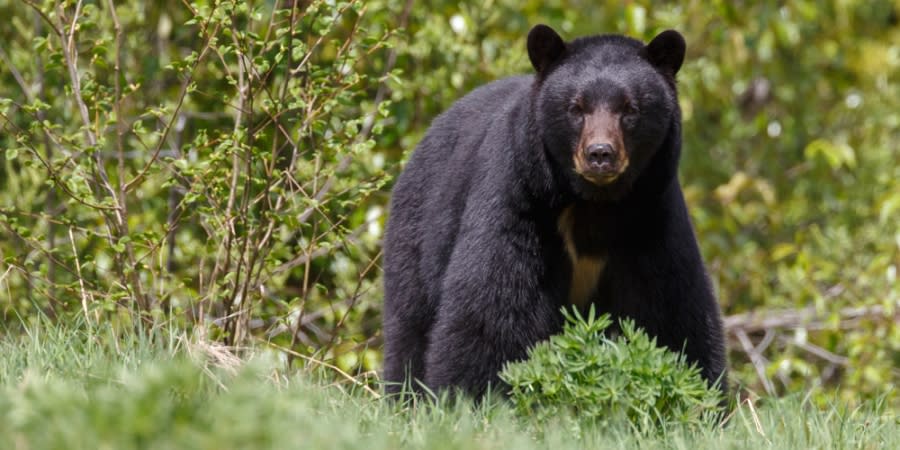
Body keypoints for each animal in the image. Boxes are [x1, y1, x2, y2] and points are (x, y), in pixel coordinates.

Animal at [384, 24, 728, 398]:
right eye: (576, 108)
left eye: (630, 109)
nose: (600, 154)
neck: (593, 202)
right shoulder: (520, 199)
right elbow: (494, 305)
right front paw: (470, 396)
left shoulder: (650, 215)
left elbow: (670, 309)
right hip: (419, 231)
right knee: (410, 324)